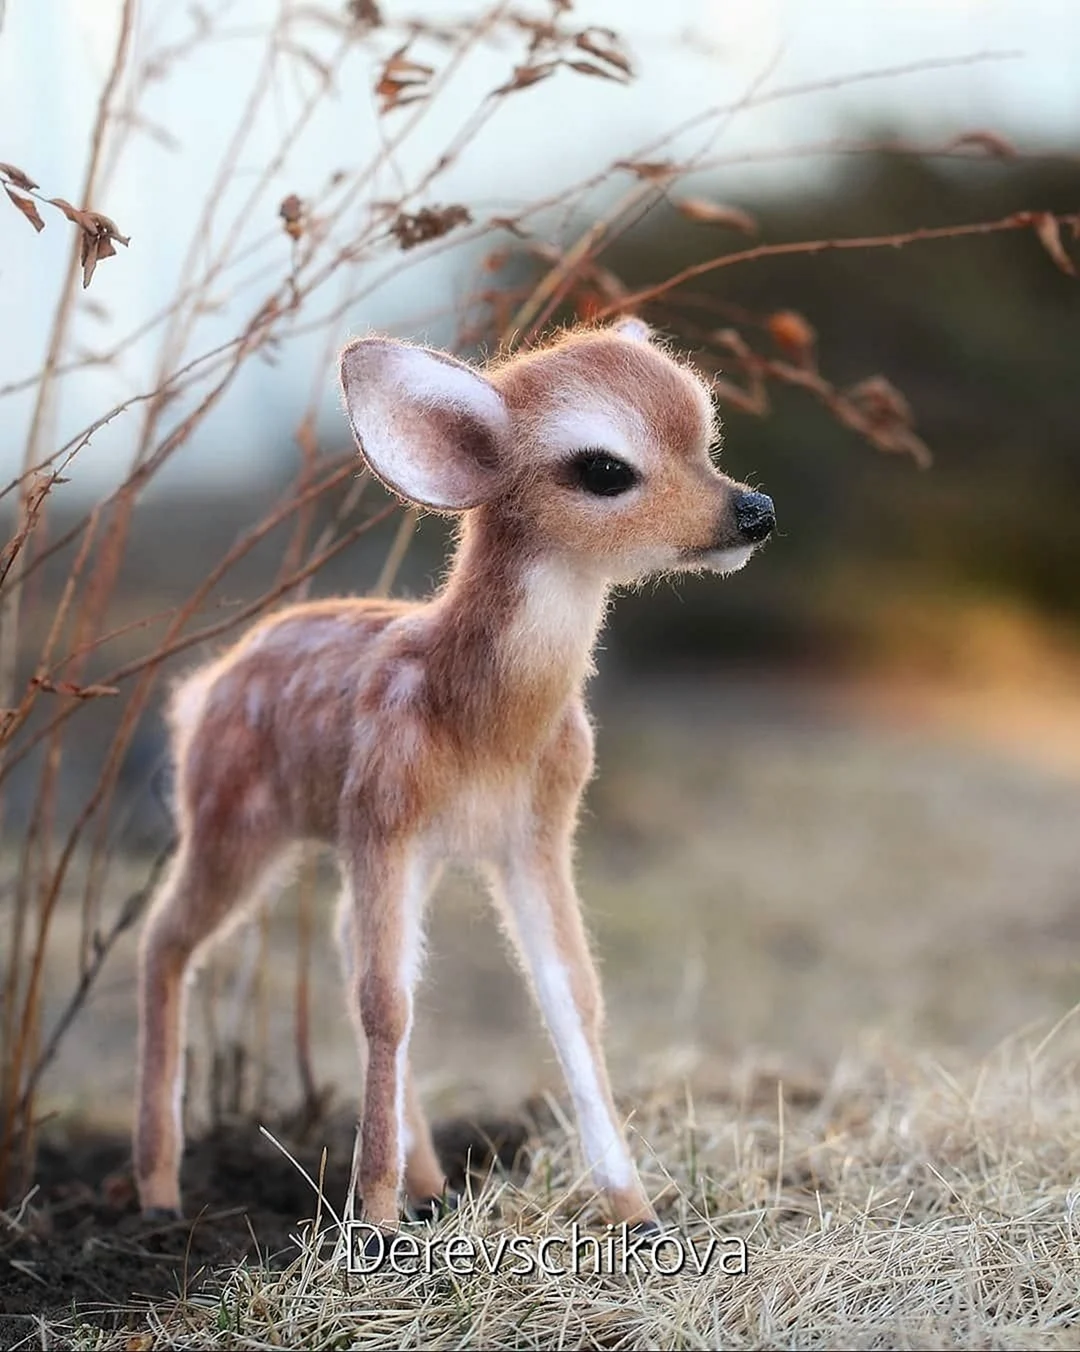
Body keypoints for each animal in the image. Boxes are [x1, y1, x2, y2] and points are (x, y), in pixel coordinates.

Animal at [133, 316, 778, 1238]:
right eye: (605, 468)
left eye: (706, 439)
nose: (755, 511)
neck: (482, 725)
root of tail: (201, 690)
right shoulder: (382, 812)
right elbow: (385, 1002)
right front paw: (372, 1219)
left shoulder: (535, 834)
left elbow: (571, 995)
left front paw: (636, 1210)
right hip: (235, 820)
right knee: (166, 941)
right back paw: (159, 1192)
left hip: (394, 851)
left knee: (341, 944)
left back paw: (432, 1184)